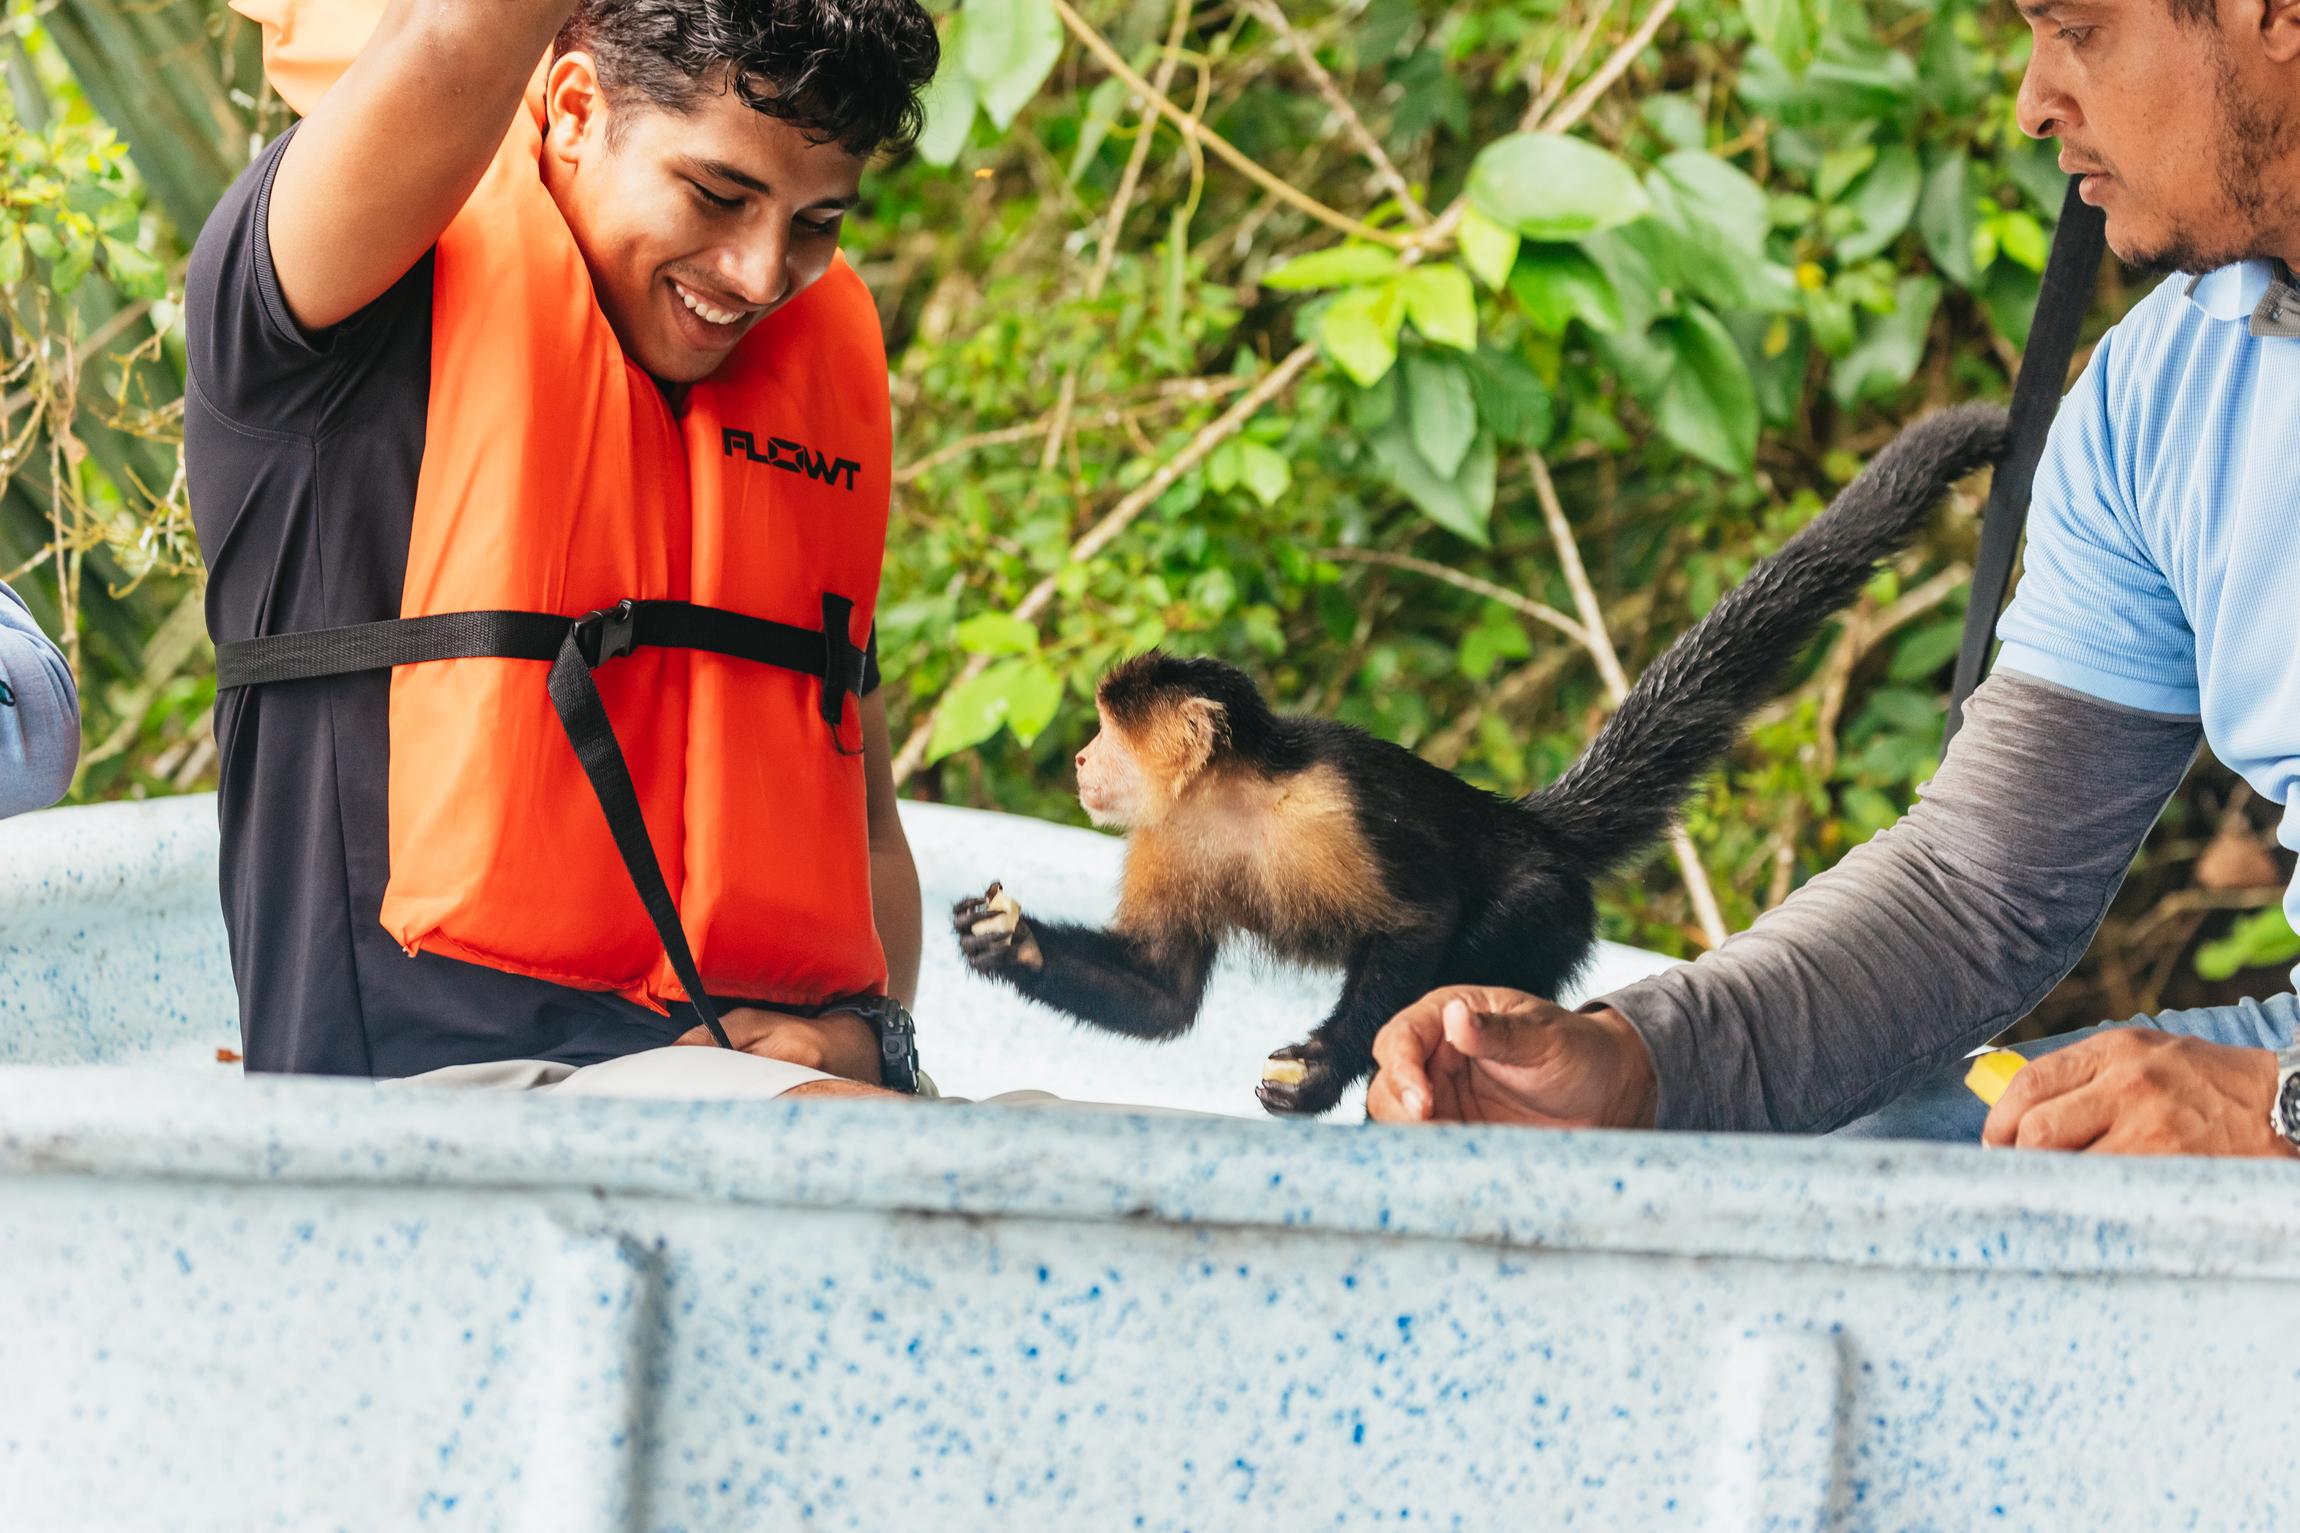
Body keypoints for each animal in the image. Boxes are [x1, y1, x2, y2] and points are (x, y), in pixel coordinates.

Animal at [952, 403, 2009, 1117]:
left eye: (1102, 729)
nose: (1079, 757)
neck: (1233, 799)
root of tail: (1528, 821)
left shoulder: (1328, 806)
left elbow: (1417, 920)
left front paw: (1325, 1065)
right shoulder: (1167, 837)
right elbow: (1161, 993)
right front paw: (1012, 939)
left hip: (1549, 908)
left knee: (1485, 932)